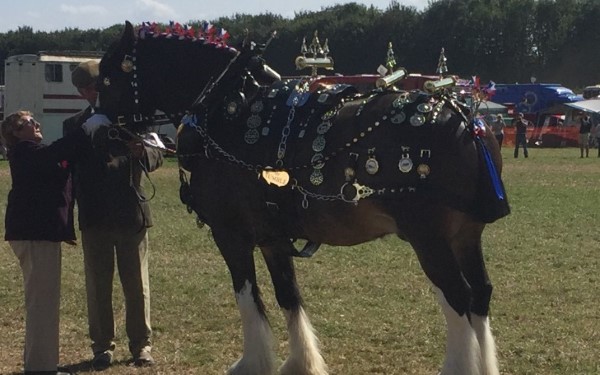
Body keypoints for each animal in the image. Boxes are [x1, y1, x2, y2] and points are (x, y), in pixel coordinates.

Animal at [98, 22, 510, 374]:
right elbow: (288, 296)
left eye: (106, 76)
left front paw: (252, 362)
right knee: (479, 296)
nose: (101, 132)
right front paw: (301, 362)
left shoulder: (230, 234)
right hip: (464, 236)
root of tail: (468, 120)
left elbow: (247, 294)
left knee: (458, 297)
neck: (226, 106)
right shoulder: (273, 238)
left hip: (429, 239)